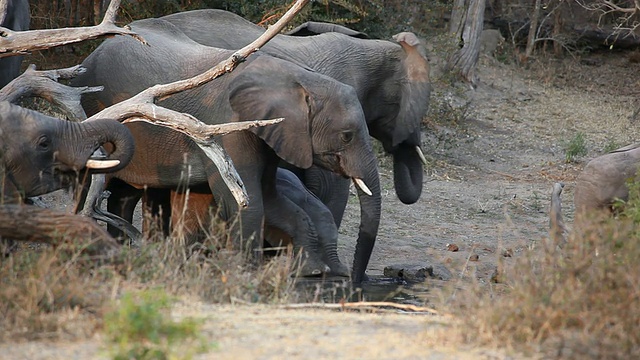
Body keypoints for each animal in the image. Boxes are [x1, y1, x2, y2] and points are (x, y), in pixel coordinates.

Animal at [70, 16, 380, 282]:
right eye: (347, 136)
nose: (356, 281)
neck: (294, 77)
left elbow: (269, 199)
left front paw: (310, 271)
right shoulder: (227, 126)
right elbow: (246, 199)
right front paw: (247, 272)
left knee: (125, 194)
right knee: (87, 186)